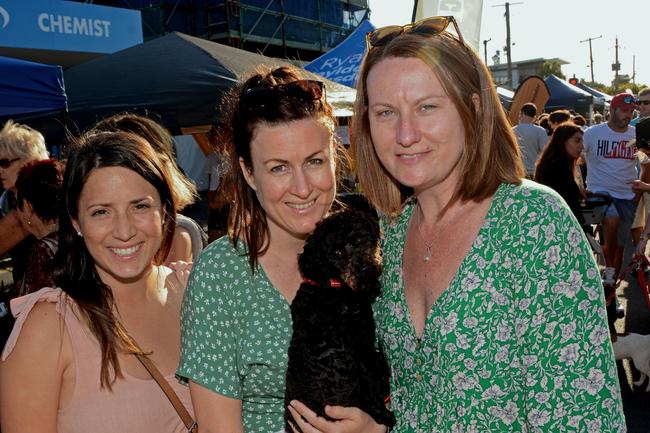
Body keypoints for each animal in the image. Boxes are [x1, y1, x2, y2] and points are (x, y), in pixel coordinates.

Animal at [284, 208, 394, 428]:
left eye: (360, 239)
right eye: (337, 253)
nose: (365, 270)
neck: (333, 288)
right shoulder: (362, 349)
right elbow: (372, 385)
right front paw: (384, 413)